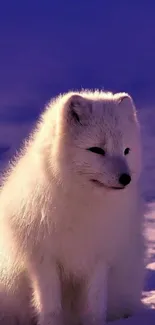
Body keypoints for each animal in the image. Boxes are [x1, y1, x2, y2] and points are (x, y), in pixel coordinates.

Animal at [0, 90, 145, 324]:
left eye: (126, 150)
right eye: (96, 150)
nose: (126, 178)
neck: (84, 203)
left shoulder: (98, 258)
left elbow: (94, 305)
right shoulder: (44, 260)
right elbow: (50, 306)